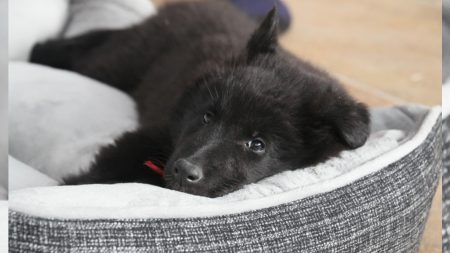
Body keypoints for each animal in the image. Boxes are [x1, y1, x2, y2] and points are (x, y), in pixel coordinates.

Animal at [30, 0, 370, 198]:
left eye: (258, 144)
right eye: (207, 116)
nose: (184, 170)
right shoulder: (151, 135)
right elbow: (103, 171)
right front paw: (66, 189)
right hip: (120, 63)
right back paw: (39, 52)